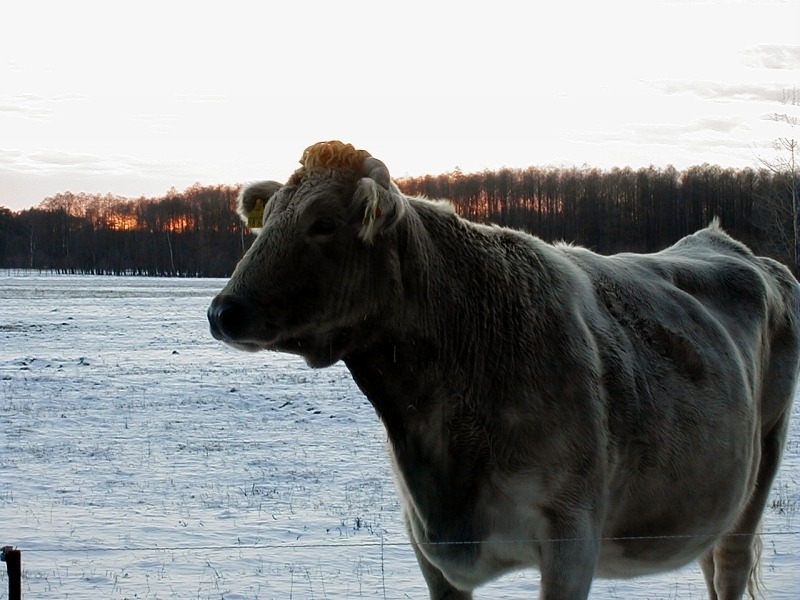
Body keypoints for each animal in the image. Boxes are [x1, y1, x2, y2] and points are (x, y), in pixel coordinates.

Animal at [208, 138, 800, 596]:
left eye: (323, 223)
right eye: (268, 220)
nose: (222, 311)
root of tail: (731, 244)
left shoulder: (571, 538)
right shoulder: (429, 547)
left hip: (760, 472)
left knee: (729, 567)